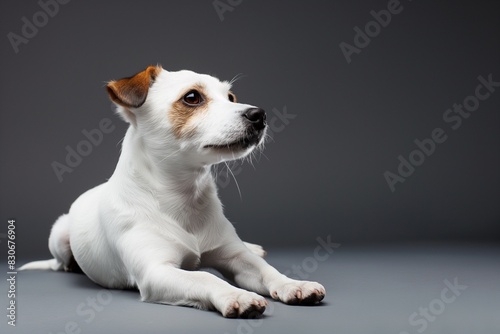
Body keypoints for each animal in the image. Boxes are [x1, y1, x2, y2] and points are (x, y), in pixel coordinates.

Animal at [19, 66, 326, 318]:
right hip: (59, 234)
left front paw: (294, 284)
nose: (259, 115)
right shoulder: (157, 272)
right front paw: (236, 295)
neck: (185, 197)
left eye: (231, 97)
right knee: (60, 264)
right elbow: (206, 278)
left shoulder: (235, 257)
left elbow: (266, 270)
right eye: (192, 97)